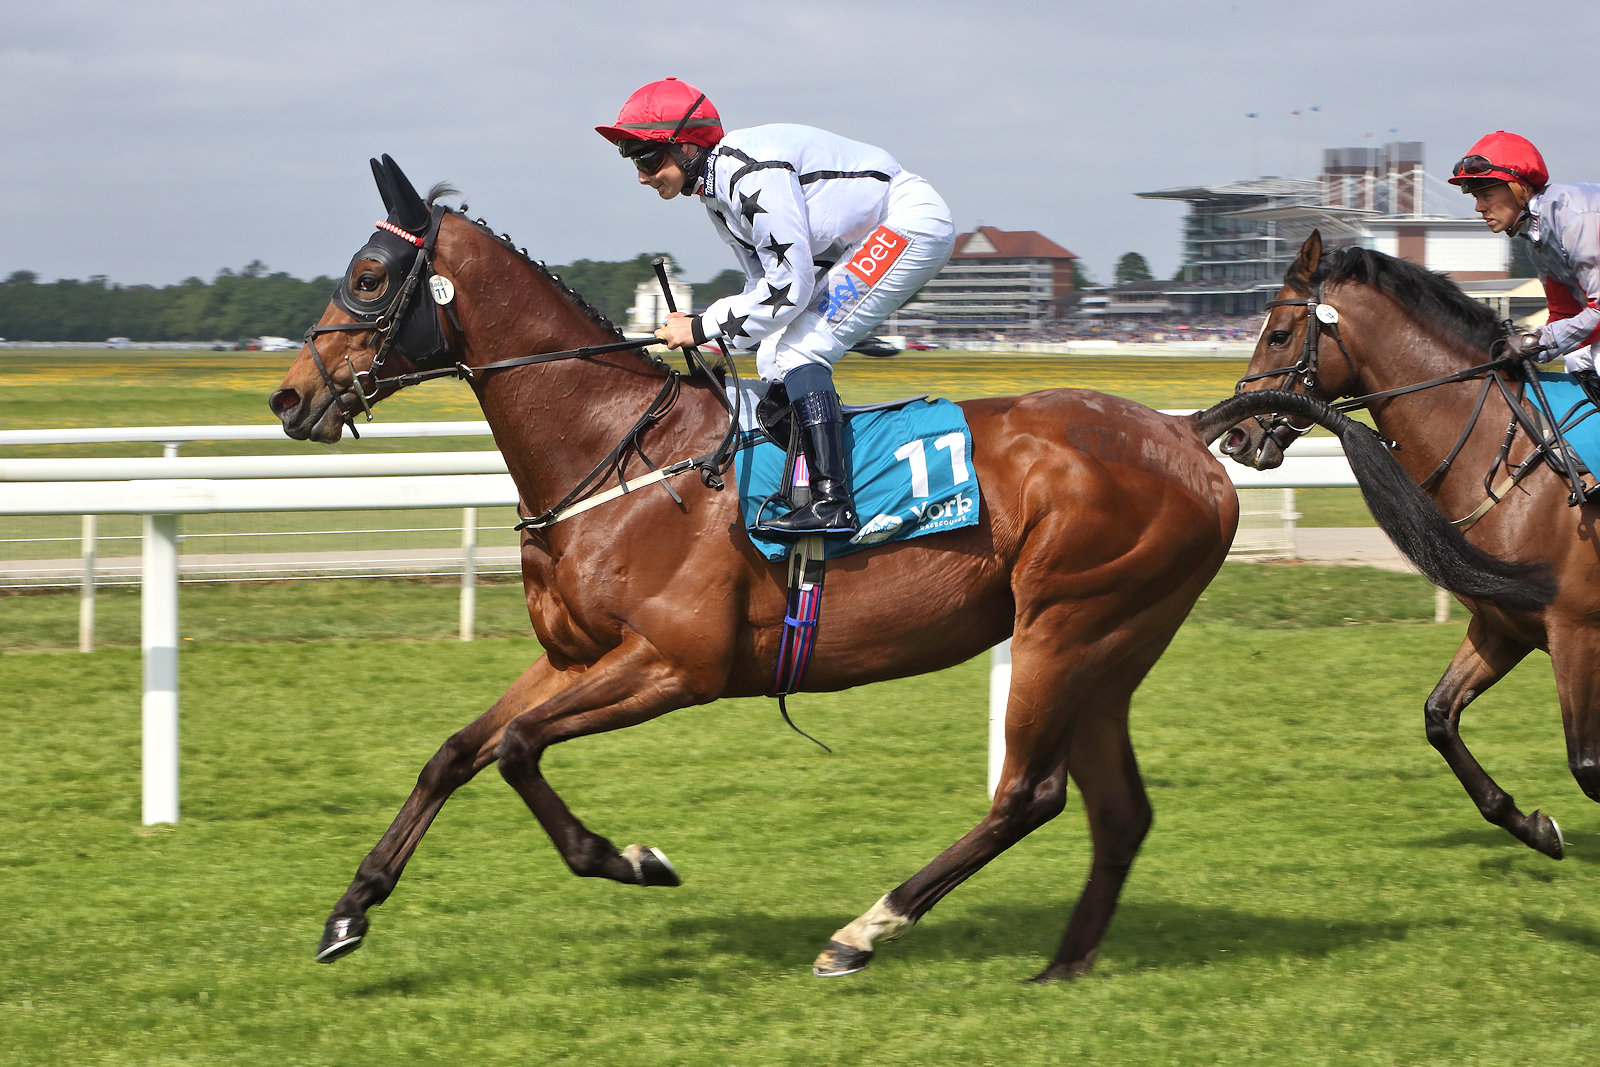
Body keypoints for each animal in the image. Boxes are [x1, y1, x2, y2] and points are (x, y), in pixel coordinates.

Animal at [1222, 229, 1582, 860]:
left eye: (1279, 334)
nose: (1236, 437)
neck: (1513, 463)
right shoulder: (1505, 623)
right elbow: (1439, 715)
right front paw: (1533, 826)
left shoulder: (1574, 630)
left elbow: (1589, 763)